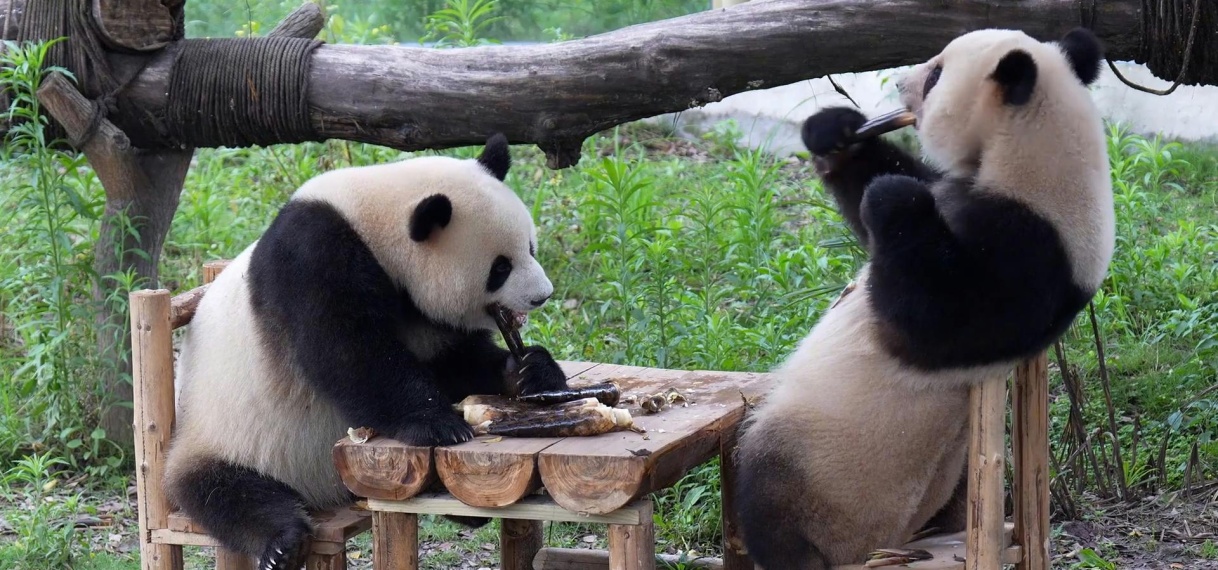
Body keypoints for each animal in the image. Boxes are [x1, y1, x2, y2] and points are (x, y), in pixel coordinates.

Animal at [160, 134, 570, 570]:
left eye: (531, 247)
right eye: (500, 268)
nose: (542, 296)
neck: (370, 222)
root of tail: (326, 494)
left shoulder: (417, 310)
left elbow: (450, 360)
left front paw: (529, 371)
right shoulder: (312, 258)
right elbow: (348, 352)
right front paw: (437, 423)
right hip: (227, 434)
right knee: (230, 493)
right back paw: (281, 543)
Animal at [730, 27, 1115, 570]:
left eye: (935, 75)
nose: (897, 84)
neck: (1034, 149)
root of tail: (883, 541)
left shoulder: (1035, 248)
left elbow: (936, 320)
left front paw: (893, 196)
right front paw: (836, 131)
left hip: (831, 465)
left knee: (769, 488)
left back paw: (789, 550)